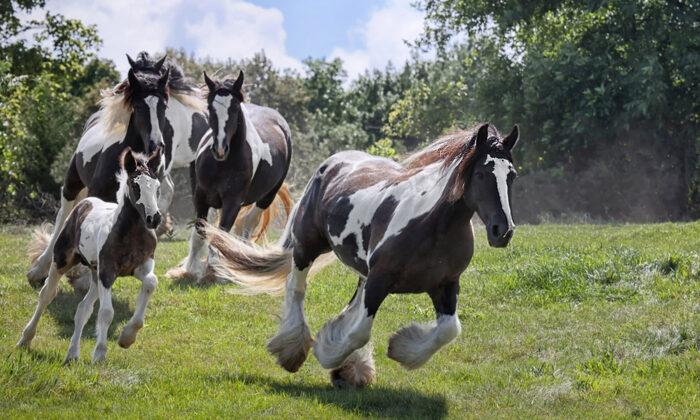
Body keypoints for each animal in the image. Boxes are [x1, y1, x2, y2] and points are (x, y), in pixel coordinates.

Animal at [17, 148, 163, 363]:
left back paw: (72, 354)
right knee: (46, 294)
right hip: (63, 260)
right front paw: (101, 354)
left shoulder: (140, 266)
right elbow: (106, 312)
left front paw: (127, 338)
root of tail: (85, 202)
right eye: (135, 186)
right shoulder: (107, 272)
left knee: (82, 309)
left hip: (95, 274)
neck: (129, 233)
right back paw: (25, 340)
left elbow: (151, 283)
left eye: (157, 186)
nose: (154, 219)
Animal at [26, 52, 210, 290]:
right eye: (138, 105)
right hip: (72, 182)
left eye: (163, 105)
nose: (156, 145)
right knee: (63, 216)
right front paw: (82, 276)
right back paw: (40, 269)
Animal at [166, 71, 293, 281]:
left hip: (267, 196)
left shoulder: (232, 202)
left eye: (234, 108)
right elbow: (200, 230)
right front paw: (190, 270)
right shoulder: (200, 198)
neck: (223, 165)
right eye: (210, 107)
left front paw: (215, 269)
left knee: (249, 223)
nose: (220, 149)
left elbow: (220, 234)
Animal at [206, 123, 520, 387]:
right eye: (480, 173)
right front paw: (328, 353)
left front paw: (399, 350)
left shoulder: (445, 284)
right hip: (307, 246)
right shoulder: (380, 279)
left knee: (350, 305)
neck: (434, 226)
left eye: (512, 175)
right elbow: (360, 331)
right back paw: (292, 351)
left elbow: (449, 329)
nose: (502, 230)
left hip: (361, 271)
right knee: (296, 288)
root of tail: (331, 164)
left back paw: (350, 366)